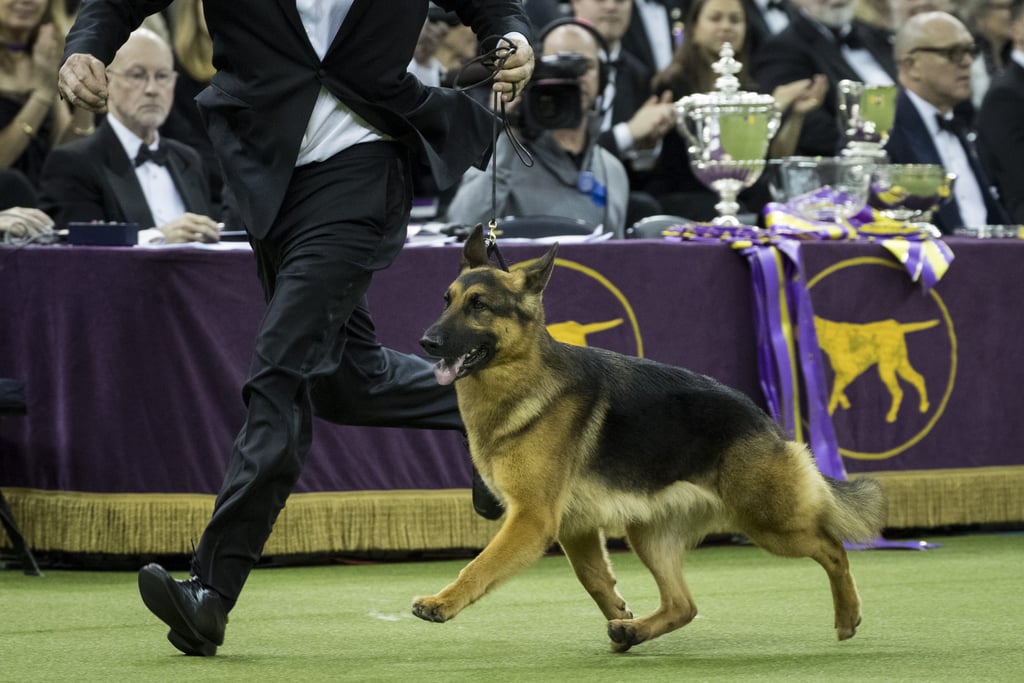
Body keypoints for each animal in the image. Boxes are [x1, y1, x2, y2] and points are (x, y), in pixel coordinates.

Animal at [411, 227, 884, 655]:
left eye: (479, 305)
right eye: (447, 300)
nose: (427, 341)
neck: (521, 376)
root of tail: (764, 420)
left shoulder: (532, 518)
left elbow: (479, 566)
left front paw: (442, 602)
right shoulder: (574, 525)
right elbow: (594, 579)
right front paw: (620, 615)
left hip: (769, 521)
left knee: (833, 547)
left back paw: (848, 616)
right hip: (651, 534)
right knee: (683, 605)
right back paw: (632, 632)